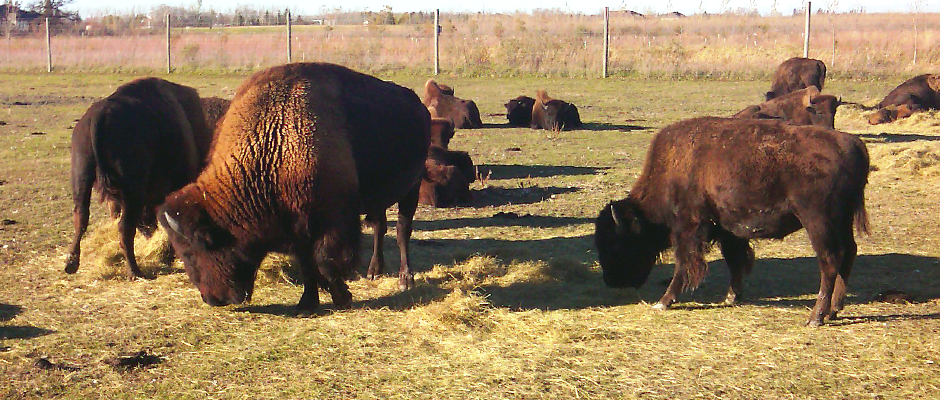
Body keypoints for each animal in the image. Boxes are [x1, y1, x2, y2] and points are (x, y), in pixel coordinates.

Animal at [65, 77, 213, 279]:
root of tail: (100, 115)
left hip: (82, 179)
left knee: (81, 217)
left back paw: (71, 264)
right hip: (131, 191)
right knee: (125, 227)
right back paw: (135, 271)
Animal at [159, 63, 430, 313]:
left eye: (193, 252)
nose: (213, 299)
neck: (274, 139)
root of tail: (418, 105)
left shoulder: (331, 221)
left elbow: (325, 262)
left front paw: (342, 297)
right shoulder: (297, 226)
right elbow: (307, 265)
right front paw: (307, 304)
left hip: (412, 188)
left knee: (402, 231)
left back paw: (405, 279)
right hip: (380, 198)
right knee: (379, 227)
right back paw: (375, 270)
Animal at [595, 117, 870, 327]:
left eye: (616, 243)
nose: (611, 282)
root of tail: (853, 144)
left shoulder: (688, 227)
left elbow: (685, 263)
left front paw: (663, 302)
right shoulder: (727, 229)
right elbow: (735, 260)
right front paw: (731, 297)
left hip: (818, 220)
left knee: (829, 260)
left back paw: (816, 317)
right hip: (841, 220)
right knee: (849, 252)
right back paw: (834, 310)